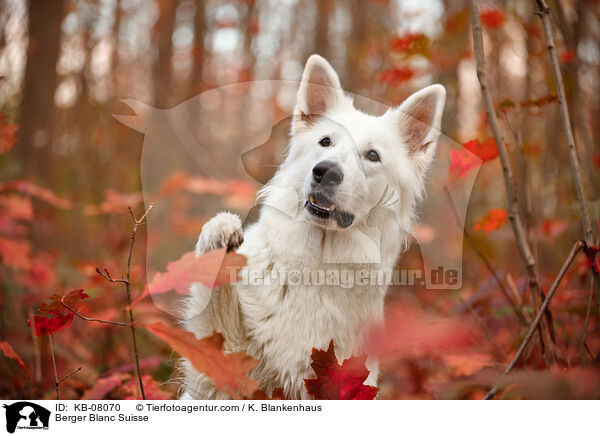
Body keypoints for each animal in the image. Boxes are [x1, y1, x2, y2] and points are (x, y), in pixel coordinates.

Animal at [179, 53, 446, 398]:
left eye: (373, 155)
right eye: (325, 141)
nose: (325, 171)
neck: (317, 259)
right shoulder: (224, 367)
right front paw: (219, 233)